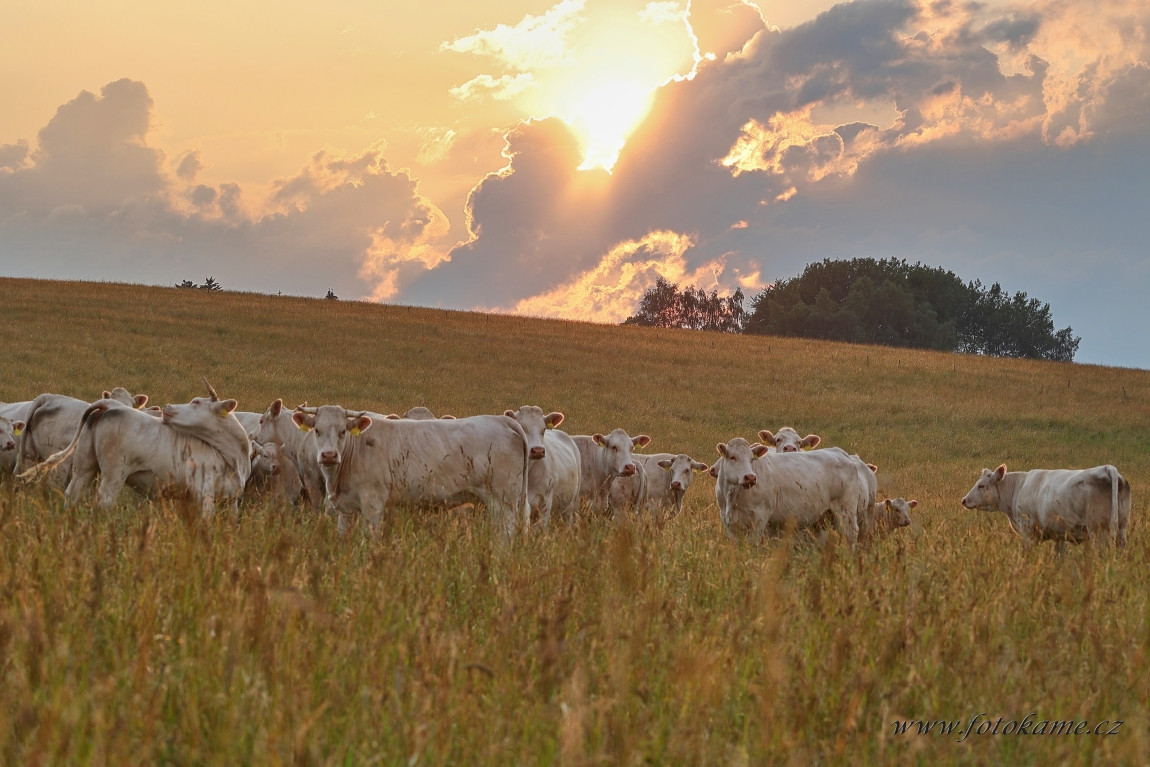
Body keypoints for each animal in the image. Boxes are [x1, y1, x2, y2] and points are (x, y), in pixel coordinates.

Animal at [23, 386, 250, 519]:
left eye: (195, 402)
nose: (167, 407)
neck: (232, 458)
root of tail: (108, 406)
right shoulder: (204, 495)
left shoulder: (230, 503)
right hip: (114, 474)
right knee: (104, 501)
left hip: (84, 466)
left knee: (73, 494)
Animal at [294, 404, 531, 538]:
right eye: (317, 430)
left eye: (343, 431)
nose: (329, 455)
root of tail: (503, 420)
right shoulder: (346, 510)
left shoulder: (373, 504)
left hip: (503, 501)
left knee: (506, 534)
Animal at [713, 436, 864, 545]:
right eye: (733, 457)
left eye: (752, 459)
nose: (750, 477)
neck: (732, 497)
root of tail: (840, 452)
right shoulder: (726, 520)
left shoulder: (760, 516)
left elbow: (753, 542)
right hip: (827, 515)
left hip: (846, 510)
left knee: (851, 533)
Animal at [956, 462, 1127, 551]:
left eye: (981, 485)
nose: (964, 500)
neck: (1018, 486)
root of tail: (1107, 468)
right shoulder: (1060, 535)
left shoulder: (1027, 531)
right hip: (1121, 530)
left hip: (1097, 531)